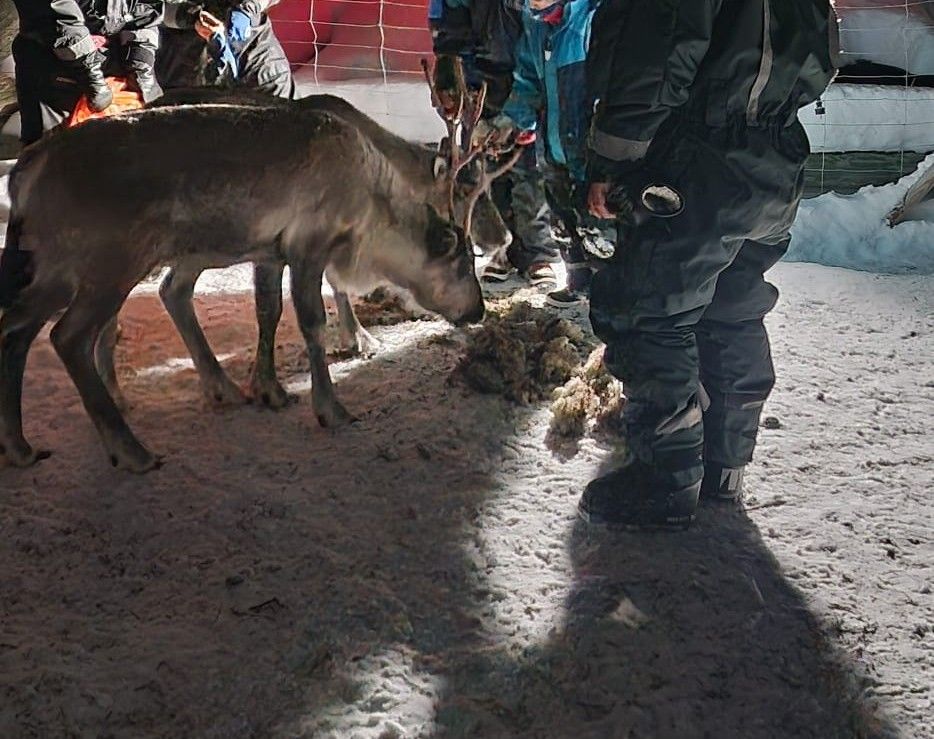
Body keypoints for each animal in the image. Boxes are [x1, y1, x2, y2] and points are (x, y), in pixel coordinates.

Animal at [0, 61, 521, 472]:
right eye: (463, 262)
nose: (477, 311)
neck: (370, 211)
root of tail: (24, 172)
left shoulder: (271, 251)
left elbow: (269, 311)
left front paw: (270, 389)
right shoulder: (310, 243)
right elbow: (311, 321)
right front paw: (331, 406)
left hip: (55, 268)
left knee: (18, 328)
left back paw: (21, 447)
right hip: (112, 260)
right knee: (68, 336)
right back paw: (131, 450)